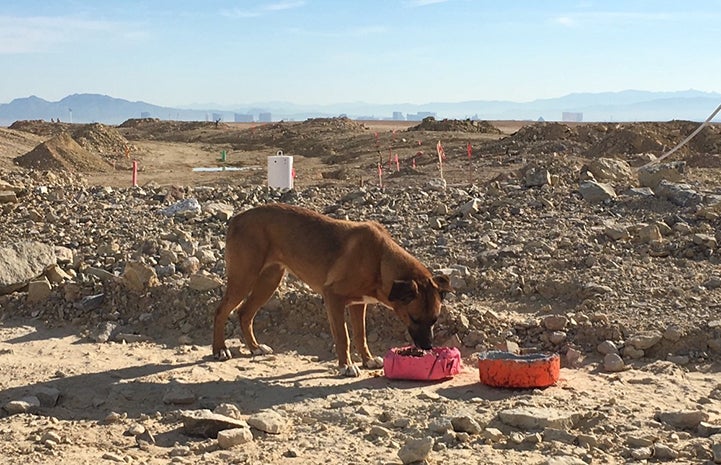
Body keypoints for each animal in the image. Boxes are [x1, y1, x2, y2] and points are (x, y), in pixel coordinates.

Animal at [211, 204, 452, 376]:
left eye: (435, 319)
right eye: (413, 318)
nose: (428, 347)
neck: (380, 260)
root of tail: (237, 218)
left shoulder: (358, 304)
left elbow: (360, 335)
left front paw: (367, 360)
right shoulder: (333, 298)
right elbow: (343, 336)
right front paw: (347, 366)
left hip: (269, 281)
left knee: (244, 313)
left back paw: (254, 347)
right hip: (244, 279)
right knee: (221, 311)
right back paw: (220, 349)